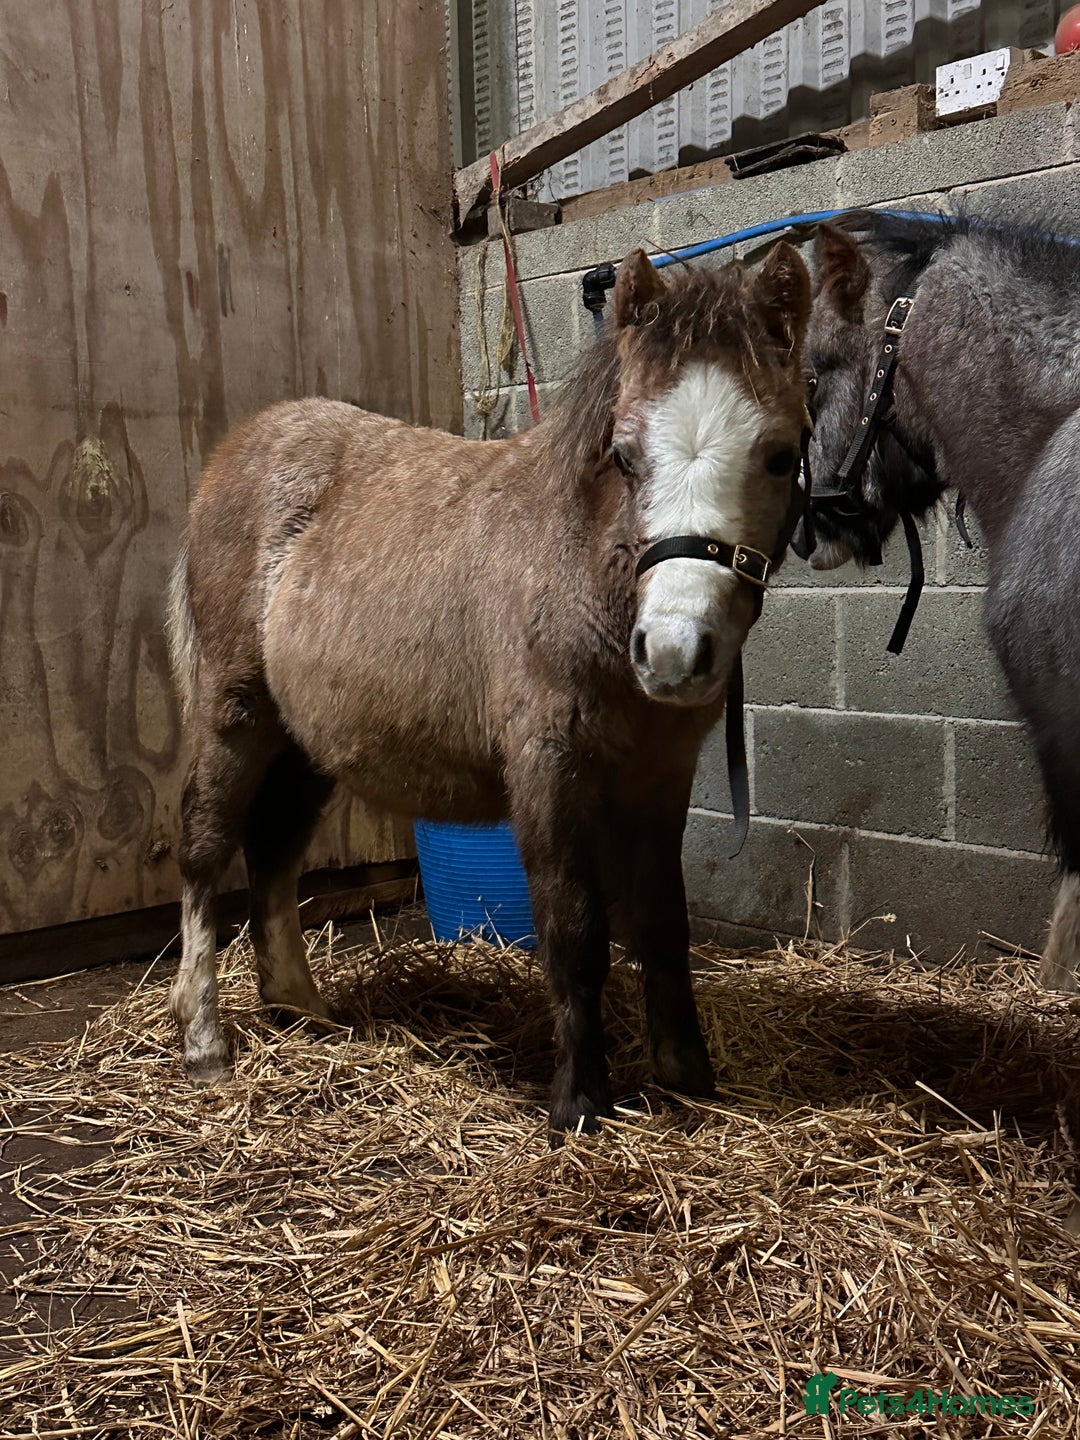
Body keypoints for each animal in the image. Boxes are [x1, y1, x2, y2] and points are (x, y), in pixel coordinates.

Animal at [165, 242, 813, 1136]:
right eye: (625, 455)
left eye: (780, 453)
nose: (675, 652)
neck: (580, 572)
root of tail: (237, 452)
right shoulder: (547, 770)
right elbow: (574, 932)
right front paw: (579, 1103)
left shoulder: (659, 778)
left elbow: (661, 920)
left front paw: (687, 1074)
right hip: (234, 713)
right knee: (204, 851)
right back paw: (203, 1042)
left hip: (306, 742)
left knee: (274, 853)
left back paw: (302, 1009)